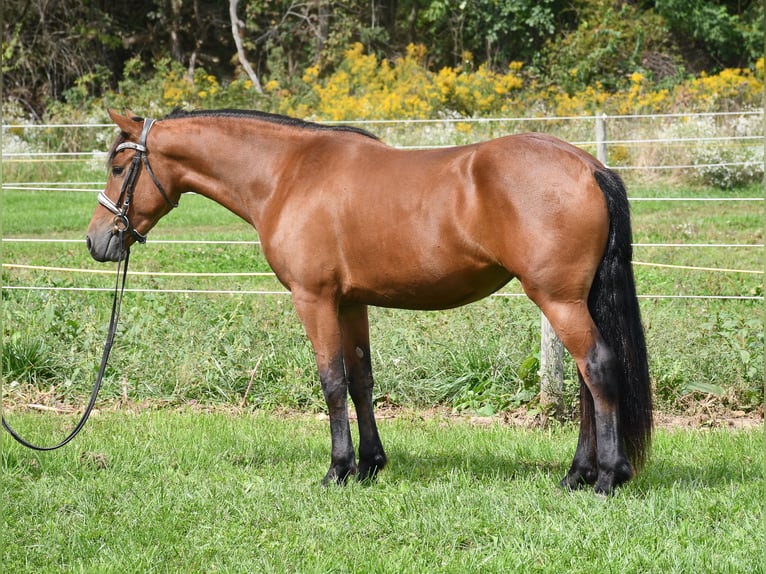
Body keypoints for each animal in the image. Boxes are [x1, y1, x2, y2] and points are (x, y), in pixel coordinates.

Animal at [87, 108, 652, 494]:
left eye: (118, 166)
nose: (97, 242)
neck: (289, 174)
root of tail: (589, 166)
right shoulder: (349, 303)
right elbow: (361, 381)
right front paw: (369, 465)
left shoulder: (313, 300)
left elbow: (332, 383)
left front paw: (338, 469)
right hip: (571, 301)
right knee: (586, 382)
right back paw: (577, 474)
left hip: (558, 300)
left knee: (597, 369)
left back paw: (606, 477)